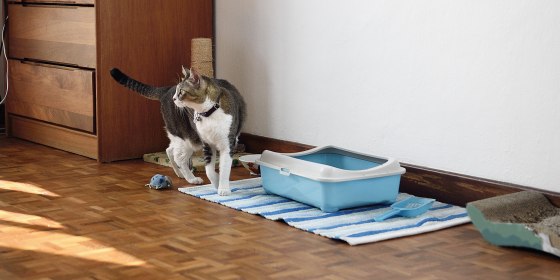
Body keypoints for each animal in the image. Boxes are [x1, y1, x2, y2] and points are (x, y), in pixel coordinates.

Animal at [173, 67, 247, 195]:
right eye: (176, 90)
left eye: (181, 91)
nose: (173, 98)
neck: (209, 113)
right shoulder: (206, 144)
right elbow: (208, 170)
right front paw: (216, 182)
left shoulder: (228, 143)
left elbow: (225, 167)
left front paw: (223, 189)